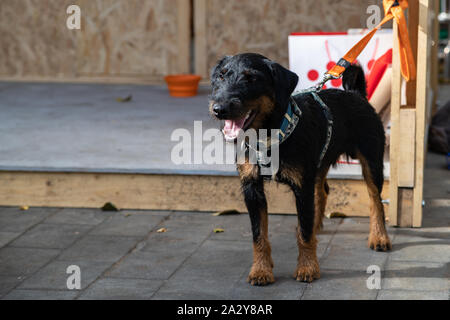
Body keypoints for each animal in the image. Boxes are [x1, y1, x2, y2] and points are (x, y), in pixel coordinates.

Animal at [209, 52, 392, 284]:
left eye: (251, 78)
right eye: (221, 76)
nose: (219, 109)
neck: (269, 136)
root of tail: (356, 94)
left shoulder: (301, 186)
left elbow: (303, 234)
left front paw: (307, 268)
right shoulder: (252, 188)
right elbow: (258, 234)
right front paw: (261, 270)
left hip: (371, 161)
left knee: (375, 198)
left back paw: (379, 237)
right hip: (320, 162)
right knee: (322, 190)